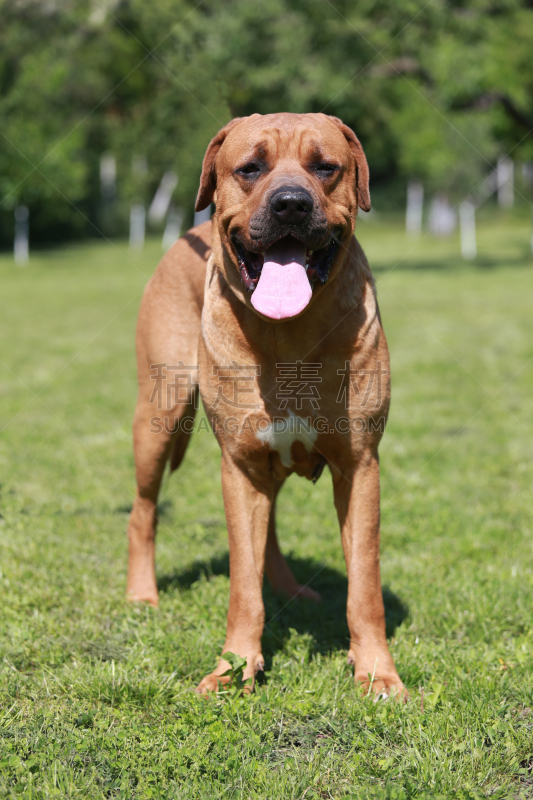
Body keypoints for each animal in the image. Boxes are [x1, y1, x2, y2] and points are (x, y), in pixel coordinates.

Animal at [127, 114, 404, 700]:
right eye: (250, 168)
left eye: (326, 167)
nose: (292, 205)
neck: (288, 335)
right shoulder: (240, 465)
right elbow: (241, 586)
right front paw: (233, 668)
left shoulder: (359, 465)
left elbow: (364, 584)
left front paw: (377, 671)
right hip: (157, 420)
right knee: (142, 512)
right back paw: (141, 595)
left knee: (270, 527)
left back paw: (293, 590)